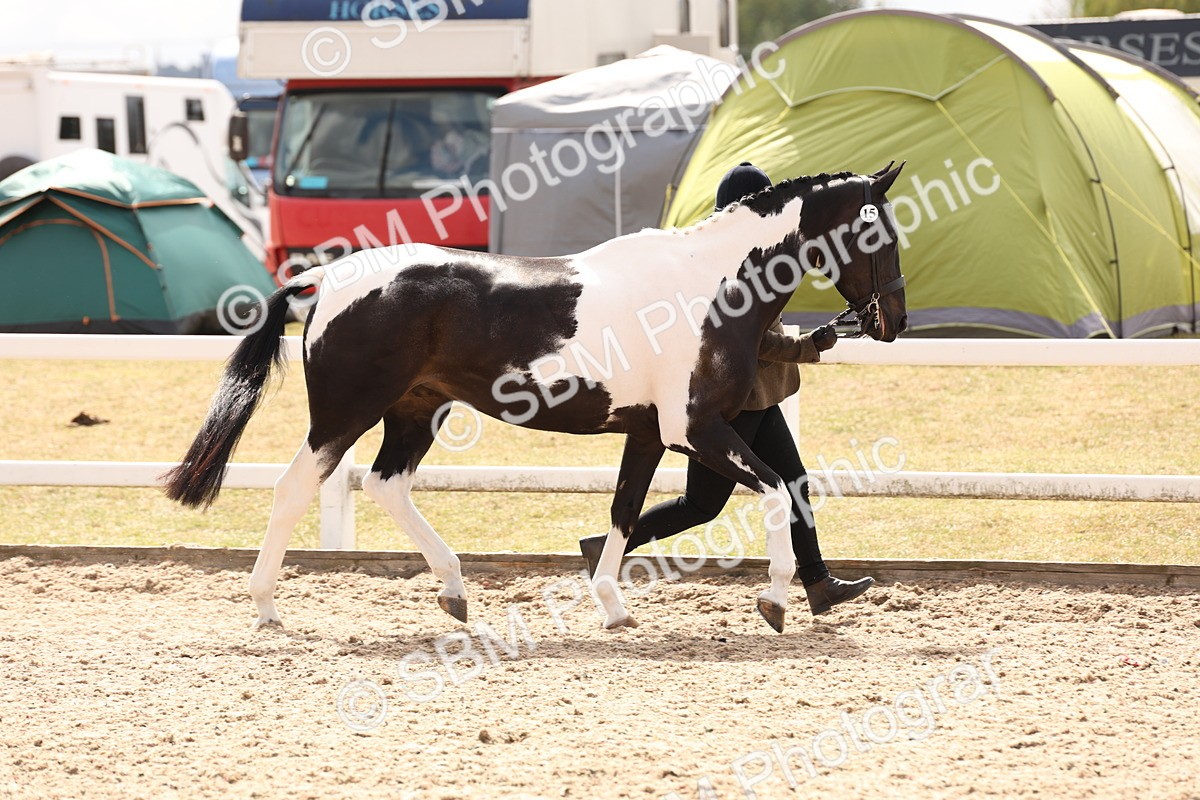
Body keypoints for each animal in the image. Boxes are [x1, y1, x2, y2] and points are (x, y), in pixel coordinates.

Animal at [163, 164, 907, 634]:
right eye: (879, 233)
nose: (892, 321)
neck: (708, 287)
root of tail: (329, 277)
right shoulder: (695, 429)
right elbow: (779, 488)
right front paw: (775, 602)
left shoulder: (647, 432)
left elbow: (625, 511)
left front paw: (613, 607)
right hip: (345, 414)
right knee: (295, 488)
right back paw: (267, 607)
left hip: (416, 410)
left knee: (385, 484)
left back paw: (455, 590)